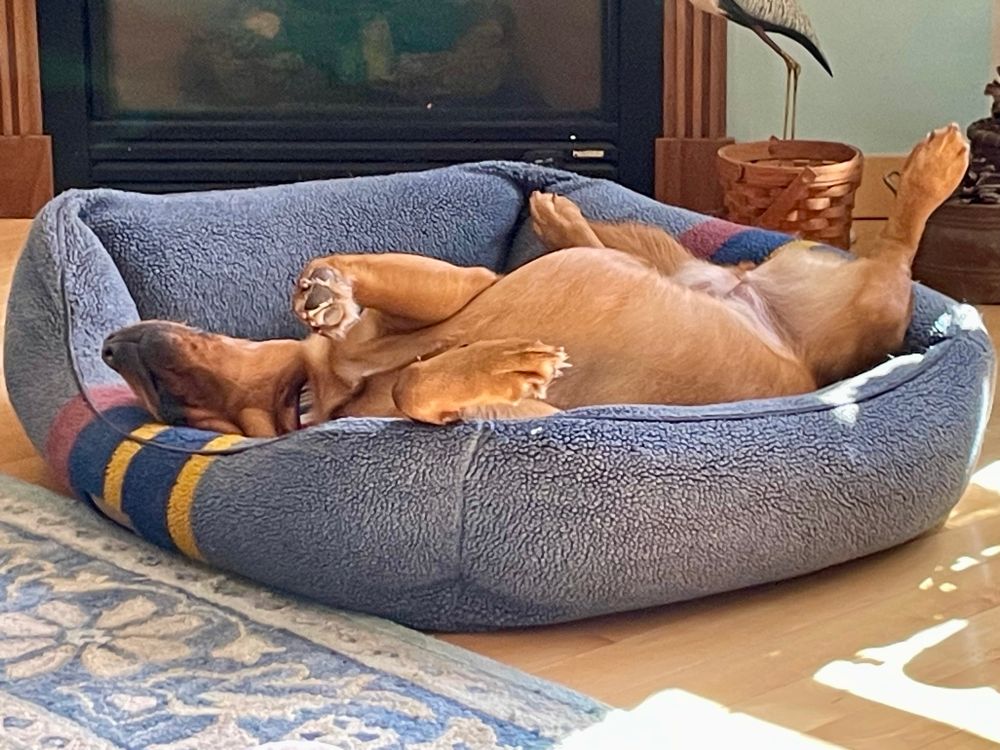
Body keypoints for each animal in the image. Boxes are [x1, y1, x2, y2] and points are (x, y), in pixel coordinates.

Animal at [101, 125, 970, 437]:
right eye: (183, 411)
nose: (114, 349)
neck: (329, 394)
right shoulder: (529, 417)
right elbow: (421, 387)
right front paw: (504, 363)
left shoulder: (461, 285)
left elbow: (360, 288)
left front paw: (329, 289)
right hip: (856, 301)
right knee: (895, 255)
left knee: (898, 243)